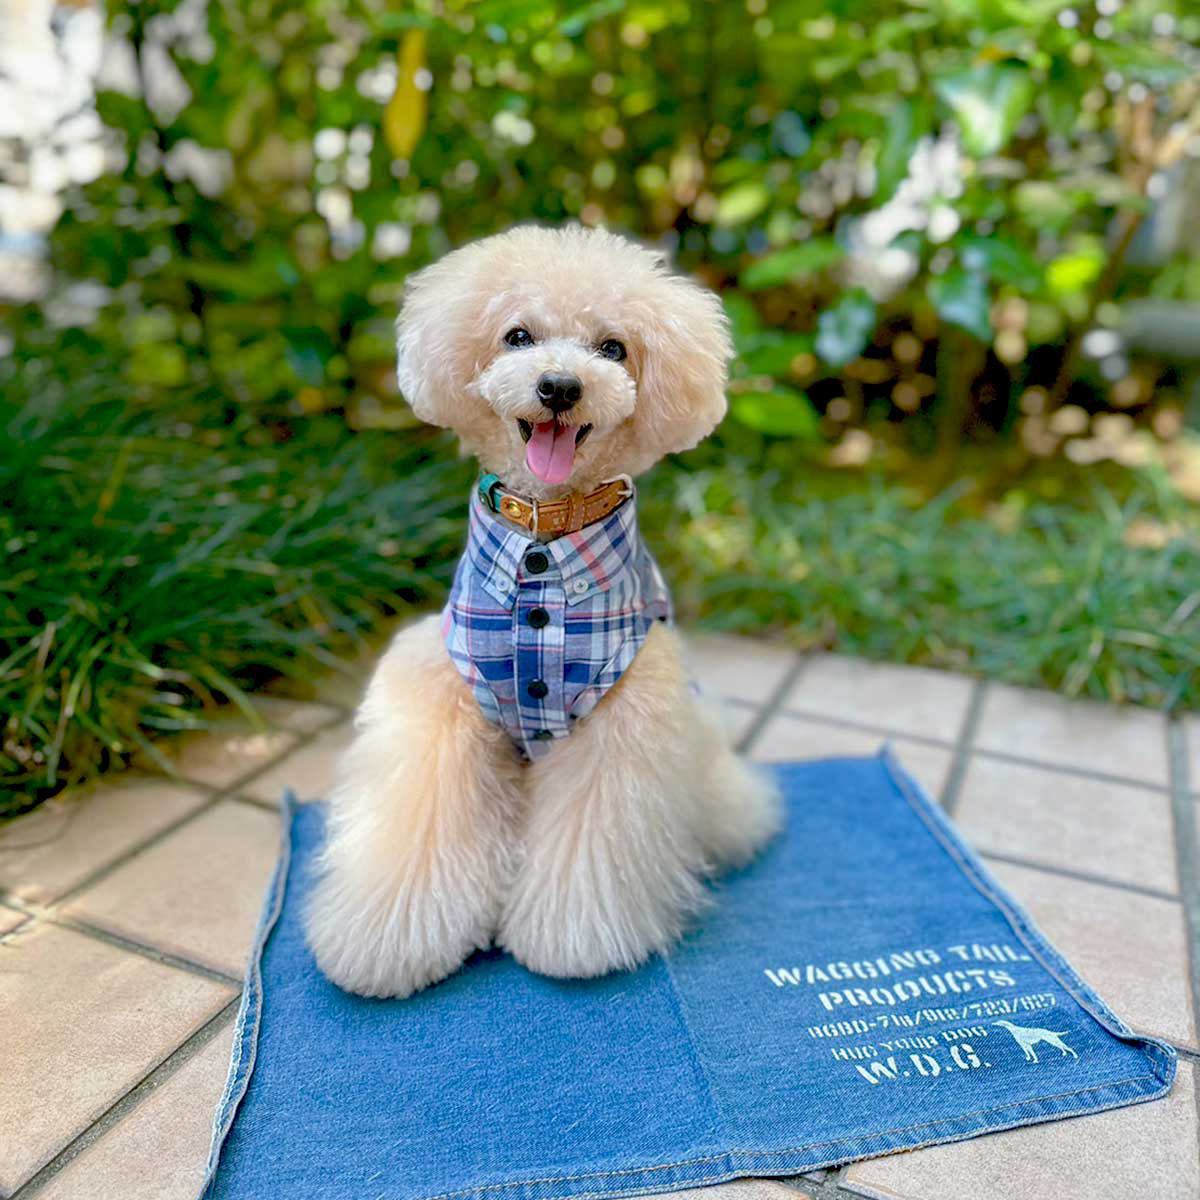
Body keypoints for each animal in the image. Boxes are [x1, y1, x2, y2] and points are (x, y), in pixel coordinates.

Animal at [304, 225, 782, 993]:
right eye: (518, 336)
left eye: (613, 348)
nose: (559, 386)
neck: (544, 538)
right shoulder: (440, 707)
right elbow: (418, 824)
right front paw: (387, 939)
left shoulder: (619, 726)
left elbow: (586, 847)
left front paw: (570, 940)